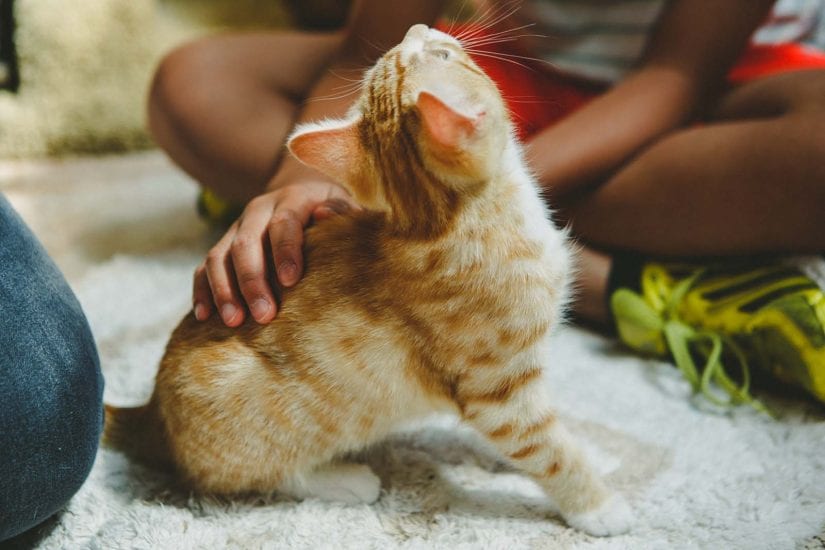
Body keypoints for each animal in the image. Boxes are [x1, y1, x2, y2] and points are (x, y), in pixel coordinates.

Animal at [103, 23, 632, 536]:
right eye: (440, 55)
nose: (420, 25)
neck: (451, 223)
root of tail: (151, 415)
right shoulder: (496, 394)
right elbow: (548, 450)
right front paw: (596, 506)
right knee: (247, 478)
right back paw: (344, 479)